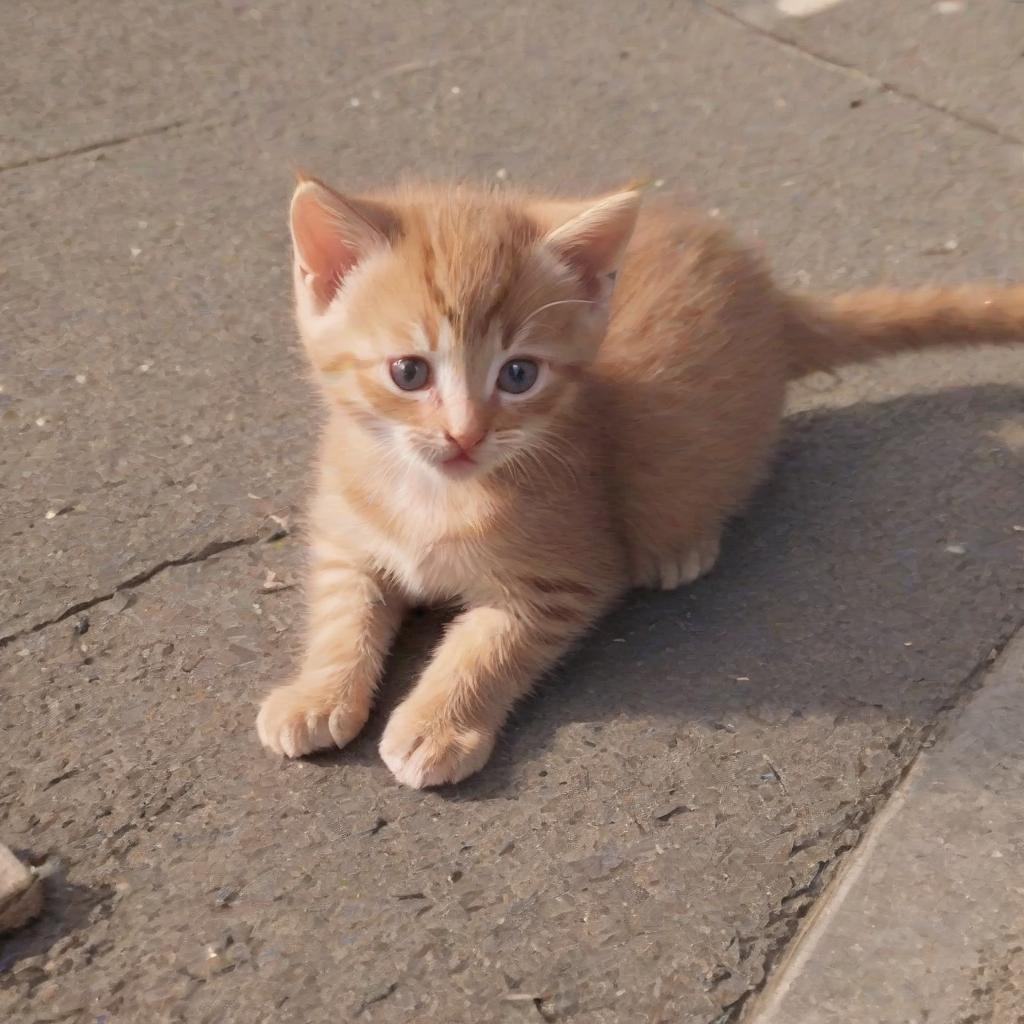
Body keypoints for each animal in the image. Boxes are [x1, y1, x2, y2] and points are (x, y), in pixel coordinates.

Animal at [256, 176, 1024, 786]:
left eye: (519, 374)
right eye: (409, 372)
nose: (466, 434)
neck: (430, 492)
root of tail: (770, 293)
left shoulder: (565, 576)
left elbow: (486, 648)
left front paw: (438, 724)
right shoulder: (345, 539)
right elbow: (341, 613)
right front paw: (317, 693)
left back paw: (683, 547)